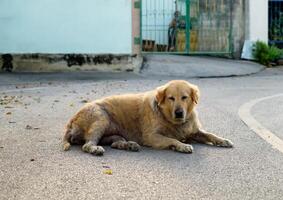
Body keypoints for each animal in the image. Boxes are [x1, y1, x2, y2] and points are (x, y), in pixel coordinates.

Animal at [63, 79, 234, 155]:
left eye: (184, 97)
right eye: (171, 98)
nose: (179, 113)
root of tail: (70, 121)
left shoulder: (194, 131)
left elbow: (210, 134)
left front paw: (223, 140)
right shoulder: (152, 136)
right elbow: (172, 139)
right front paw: (182, 145)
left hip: (113, 132)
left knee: (114, 142)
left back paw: (128, 145)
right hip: (101, 117)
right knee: (87, 145)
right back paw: (95, 148)